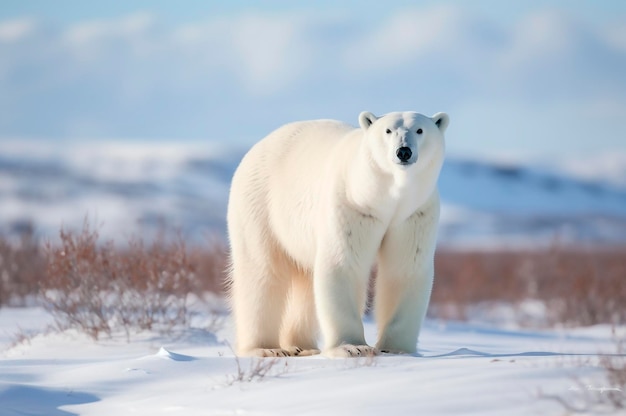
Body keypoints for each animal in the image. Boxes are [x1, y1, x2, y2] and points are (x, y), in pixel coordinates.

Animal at [227, 110, 446, 358]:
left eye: (420, 130)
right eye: (388, 130)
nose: (403, 151)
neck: (385, 197)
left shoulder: (414, 214)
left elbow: (405, 269)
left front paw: (396, 349)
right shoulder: (351, 204)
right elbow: (344, 263)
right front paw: (353, 347)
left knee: (305, 280)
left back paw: (303, 346)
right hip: (261, 205)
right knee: (261, 272)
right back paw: (266, 348)